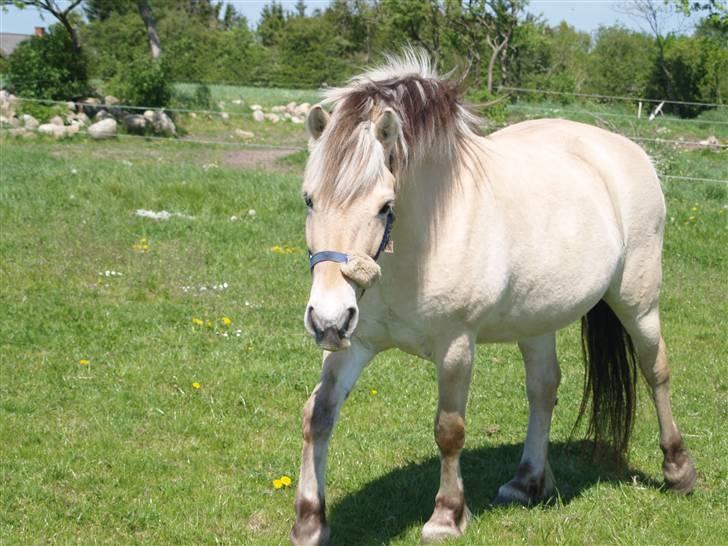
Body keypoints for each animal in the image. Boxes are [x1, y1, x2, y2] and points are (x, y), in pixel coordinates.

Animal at [288, 52, 692, 544]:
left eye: (384, 206)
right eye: (309, 200)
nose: (326, 320)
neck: (423, 239)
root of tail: (627, 151)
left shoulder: (456, 346)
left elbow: (449, 430)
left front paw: (447, 515)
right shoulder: (356, 342)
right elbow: (318, 415)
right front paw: (310, 521)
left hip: (638, 303)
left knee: (656, 371)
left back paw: (678, 469)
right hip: (538, 319)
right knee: (544, 388)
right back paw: (527, 481)